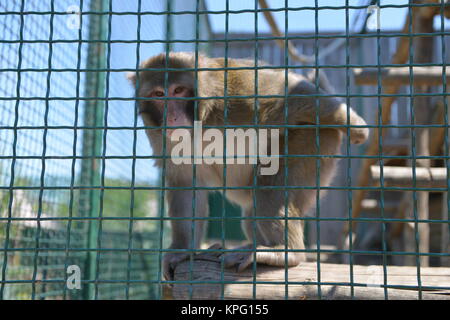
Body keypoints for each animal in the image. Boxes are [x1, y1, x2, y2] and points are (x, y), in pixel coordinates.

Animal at [127, 52, 370, 280]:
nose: (173, 117)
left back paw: (286, 252)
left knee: (270, 188)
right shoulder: (160, 136)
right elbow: (185, 183)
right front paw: (182, 251)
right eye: (159, 94)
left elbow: (292, 90)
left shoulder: (240, 96)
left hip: (314, 140)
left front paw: (356, 126)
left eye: (178, 90)